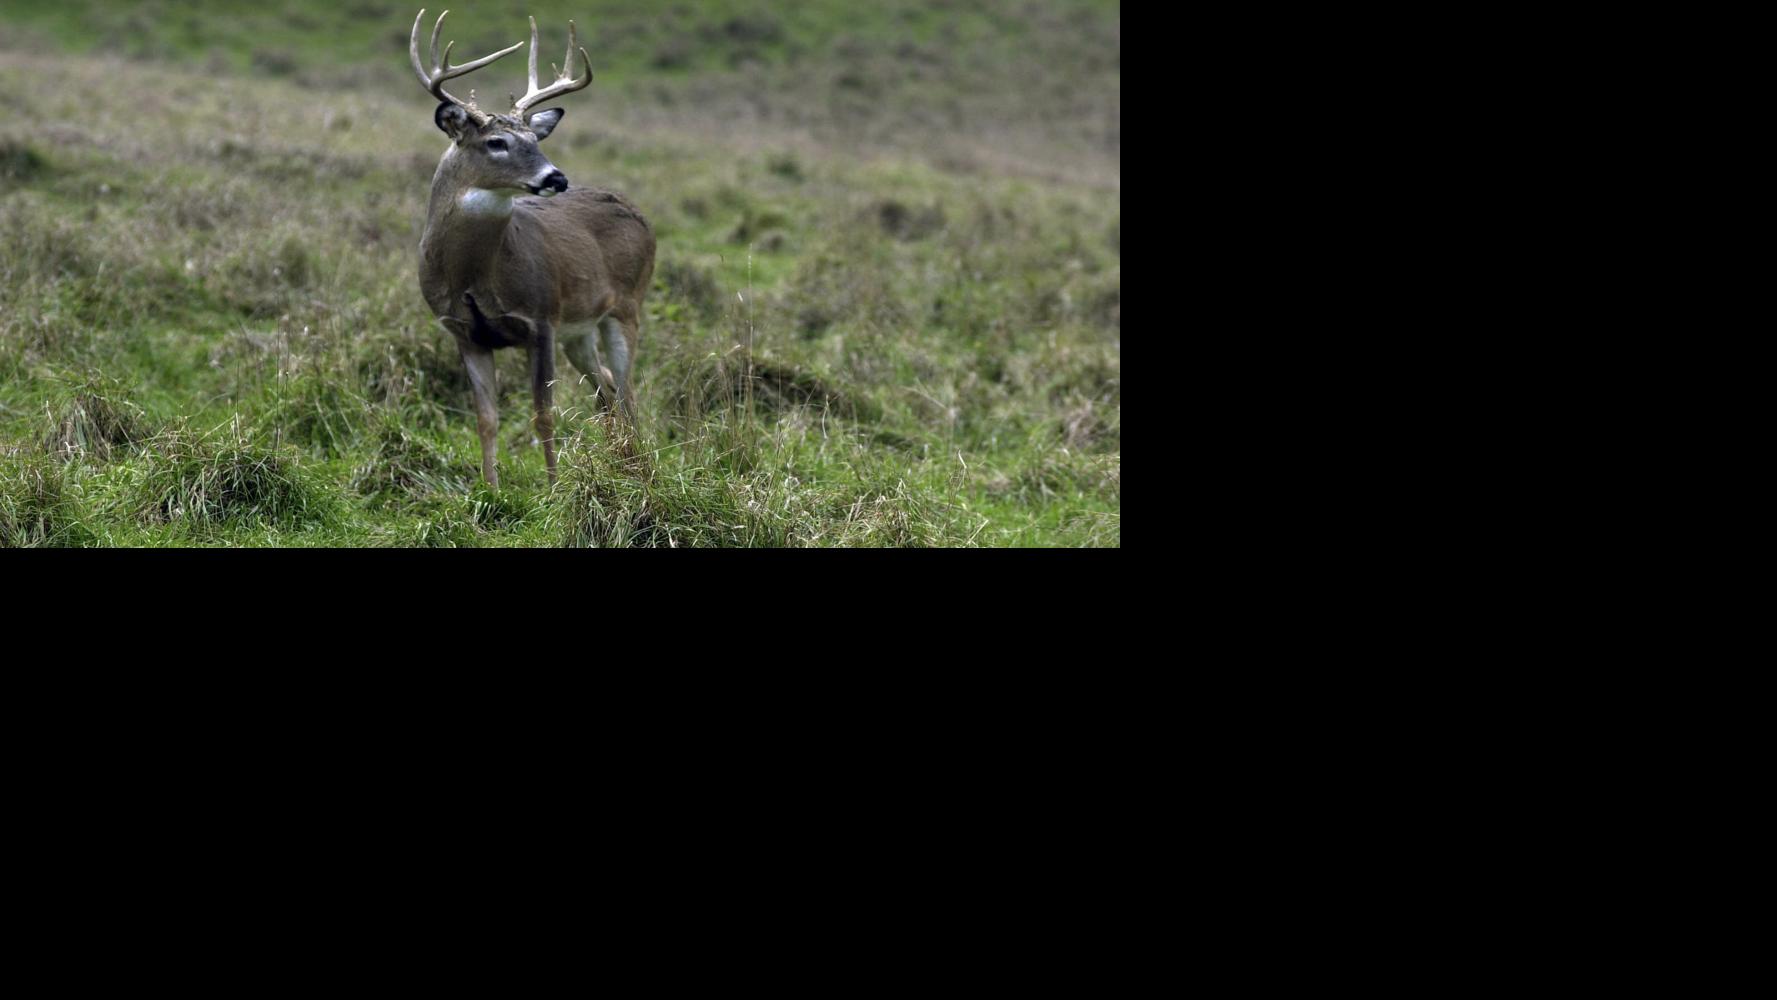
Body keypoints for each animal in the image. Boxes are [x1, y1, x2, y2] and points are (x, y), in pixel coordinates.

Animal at [409, 8, 655, 486]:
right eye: (496, 142)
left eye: (535, 140)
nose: (556, 177)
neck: (473, 275)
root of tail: (640, 214)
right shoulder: (464, 331)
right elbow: (486, 419)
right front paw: (489, 488)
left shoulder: (540, 319)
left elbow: (543, 414)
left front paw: (554, 487)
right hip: (580, 330)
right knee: (607, 387)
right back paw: (622, 462)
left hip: (626, 307)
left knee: (628, 391)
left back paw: (639, 469)